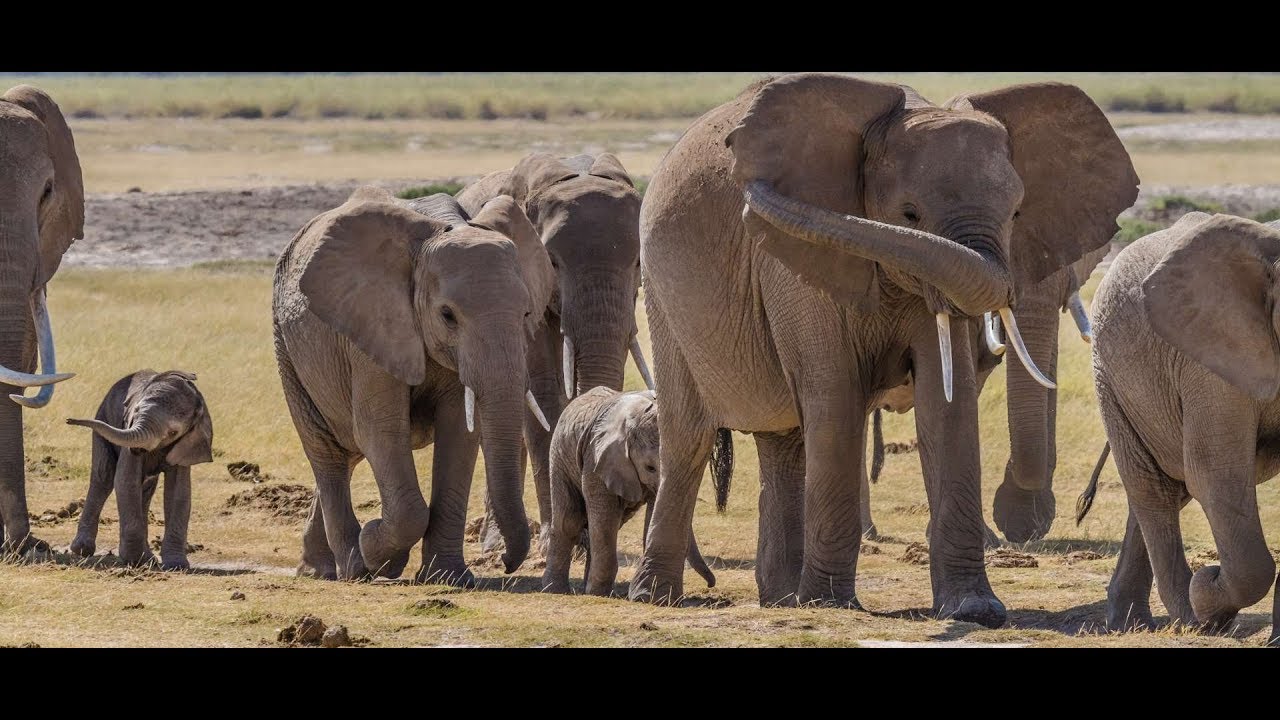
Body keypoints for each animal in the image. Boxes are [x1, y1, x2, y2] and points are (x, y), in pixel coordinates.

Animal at [66, 370, 214, 569]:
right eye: (135, 412)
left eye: (173, 432)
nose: (69, 420)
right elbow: (125, 480)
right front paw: (136, 561)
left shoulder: (186, 444)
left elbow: (179, 492)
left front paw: (176, 565)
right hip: (103, 415)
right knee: (103, 478)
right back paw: (83, 550)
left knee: (144, 490)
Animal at [273, 187, 554, 585]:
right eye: (447, 315)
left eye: (527, 313)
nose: (504, 562)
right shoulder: (373, 324)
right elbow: (382, 430)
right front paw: (378, 553)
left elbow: (461, 432)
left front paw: (448, 578)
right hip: (287, 347)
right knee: (327, 452)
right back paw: (352, 568)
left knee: (348, 452)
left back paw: (318, 569)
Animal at [542, 387, 714, 596]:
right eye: (650, 468)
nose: (710, 584)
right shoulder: (596, 458)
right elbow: (604, 517)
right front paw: (597, 593)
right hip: (559, 455)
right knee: (570, 520)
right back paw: (555, 590)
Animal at [627, 73, 1138, 627]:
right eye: (909, 214)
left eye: (1017, 212)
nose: (749, 192)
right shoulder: (791, 261)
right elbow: (834, 395)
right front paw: (831, 604)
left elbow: (946, 402)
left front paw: (975, 609)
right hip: (662, 293)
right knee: (690, 436)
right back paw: (657, 597)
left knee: (783, 440)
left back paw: (782, 598)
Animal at [1077, 213, 1280, 643]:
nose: (1211, 572)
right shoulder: (1212, 360)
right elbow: (1215, 475)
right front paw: (1206, 592)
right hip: (1111, 376)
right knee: (1154, 488)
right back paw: (1191, 619)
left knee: (1167, 488)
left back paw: (1131, 622)